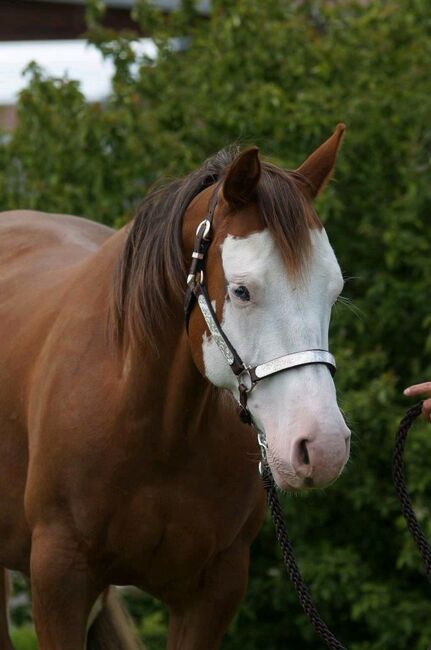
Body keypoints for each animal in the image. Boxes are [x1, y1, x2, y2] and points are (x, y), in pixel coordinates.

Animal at [0, 124, 352, 644]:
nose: (322, 446)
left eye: (333, 291)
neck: (157, 428)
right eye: (242, 290)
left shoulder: (214, 591)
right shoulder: (58, 578)